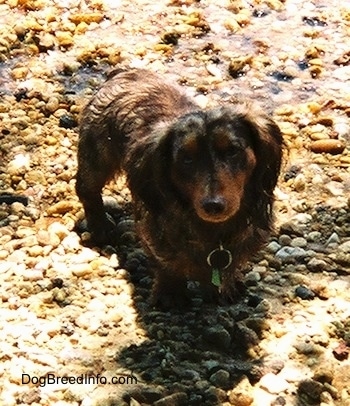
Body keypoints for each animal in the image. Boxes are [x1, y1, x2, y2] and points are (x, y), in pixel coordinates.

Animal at [75, 67, 284, 308]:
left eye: (232, 150)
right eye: (187, 158)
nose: (214, 206)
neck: (213, 231)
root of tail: (124, 72)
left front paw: (225, 287)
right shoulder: (155, 237)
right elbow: (169, 268)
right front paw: (171, 295)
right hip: (97, 157)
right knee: (87, 190)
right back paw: (100, 227)